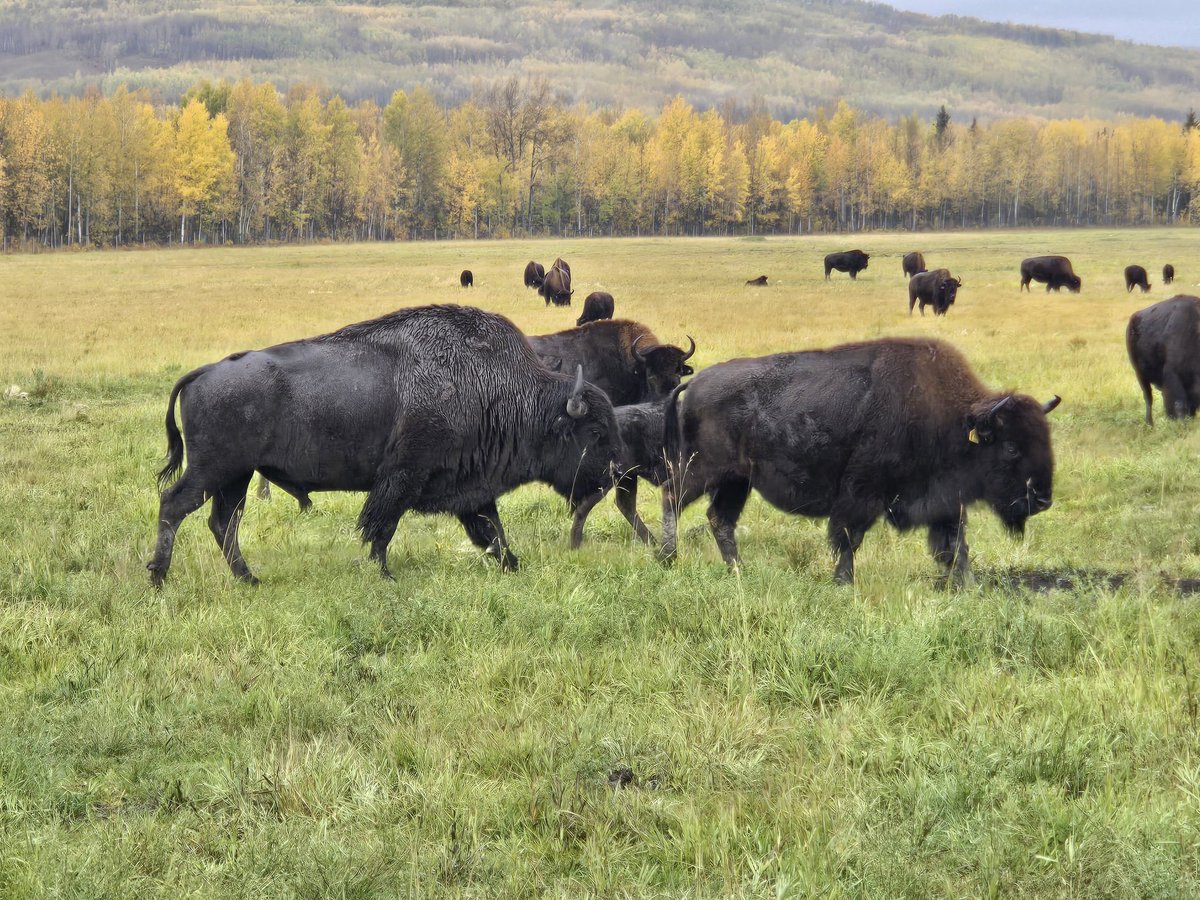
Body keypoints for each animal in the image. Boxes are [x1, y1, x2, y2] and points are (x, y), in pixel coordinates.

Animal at [148, 305, 620, 586]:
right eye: (595, 432)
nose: (614, 473)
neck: (503, 390)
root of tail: (205, 372)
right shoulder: (404, 476)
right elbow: (382, 526)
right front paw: (385, 574)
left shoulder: (472, 488)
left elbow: (492, 530)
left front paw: (513, 563)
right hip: (214, 470)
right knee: (175, 505)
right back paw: (158, 577)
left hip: (236, 476)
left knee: (223, 522)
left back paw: (249, 579)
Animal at [659, 338, 1060, 584]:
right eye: (1012, 448)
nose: (1042, 499)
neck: (954, 419)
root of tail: (694, 384)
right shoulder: (861, 493)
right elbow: (849, 539)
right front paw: (843, 583)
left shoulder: (945, 500)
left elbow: (955, 546)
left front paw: (966, 585)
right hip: (701, 469)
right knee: (671, 498)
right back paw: (667, 559)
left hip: (736, 480)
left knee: (720, 519)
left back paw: (738, 571)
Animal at [1126, 295, 1200, 425]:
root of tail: (1133, 319)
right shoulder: (1173, 375)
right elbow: (1179, 404)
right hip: (1139, 374)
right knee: (1148, 398)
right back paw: (1150, 424)